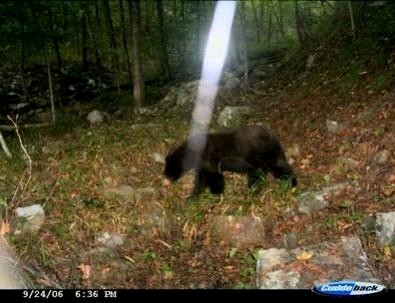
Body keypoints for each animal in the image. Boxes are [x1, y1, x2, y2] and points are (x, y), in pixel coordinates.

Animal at [164, 125, 296, 198]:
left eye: (168, 168)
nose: (166, 177)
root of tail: (273, 135)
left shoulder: (209, 158)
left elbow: (215, 178)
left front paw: (217, 195)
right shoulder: (202, 165)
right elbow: (201, 180)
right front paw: (192, 196)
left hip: (262, 154)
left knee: (274, 167)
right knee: (263, 172)